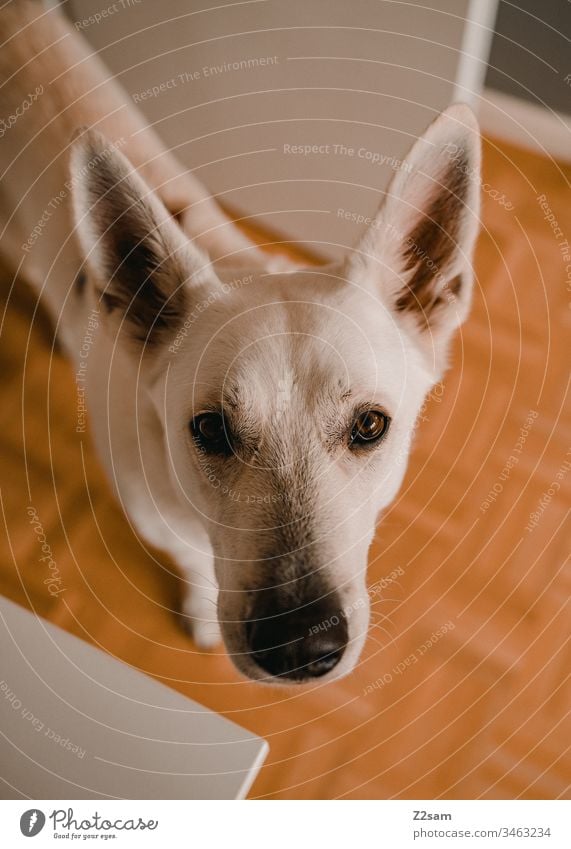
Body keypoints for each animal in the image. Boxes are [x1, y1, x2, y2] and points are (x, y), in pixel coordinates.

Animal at [2, 0, 480, 684]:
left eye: (370, 425)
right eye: (209, 429)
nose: (301, 648)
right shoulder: (161, 525)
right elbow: (195, 562)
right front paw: (202, 608)